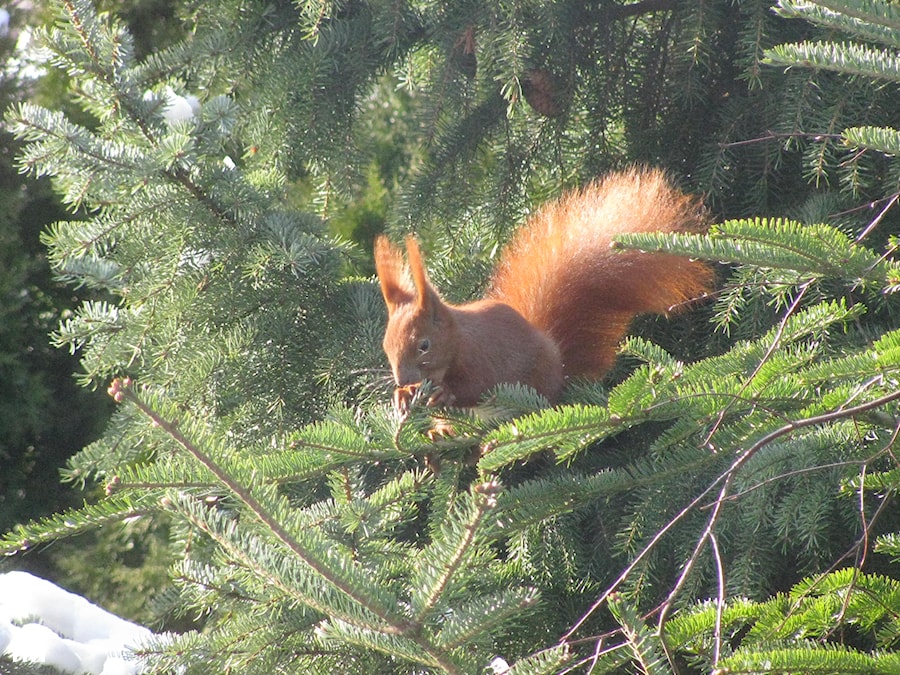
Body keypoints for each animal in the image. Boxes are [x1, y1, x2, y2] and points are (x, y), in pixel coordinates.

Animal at [372, 166, 712, 410]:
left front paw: (443, 393)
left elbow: (476, 386)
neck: (457, 341)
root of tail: (559, 364)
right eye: (386, 345)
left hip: (535, 385)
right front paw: (403, 395)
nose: (402, 378)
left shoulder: (480, 356)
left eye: (424, 345)